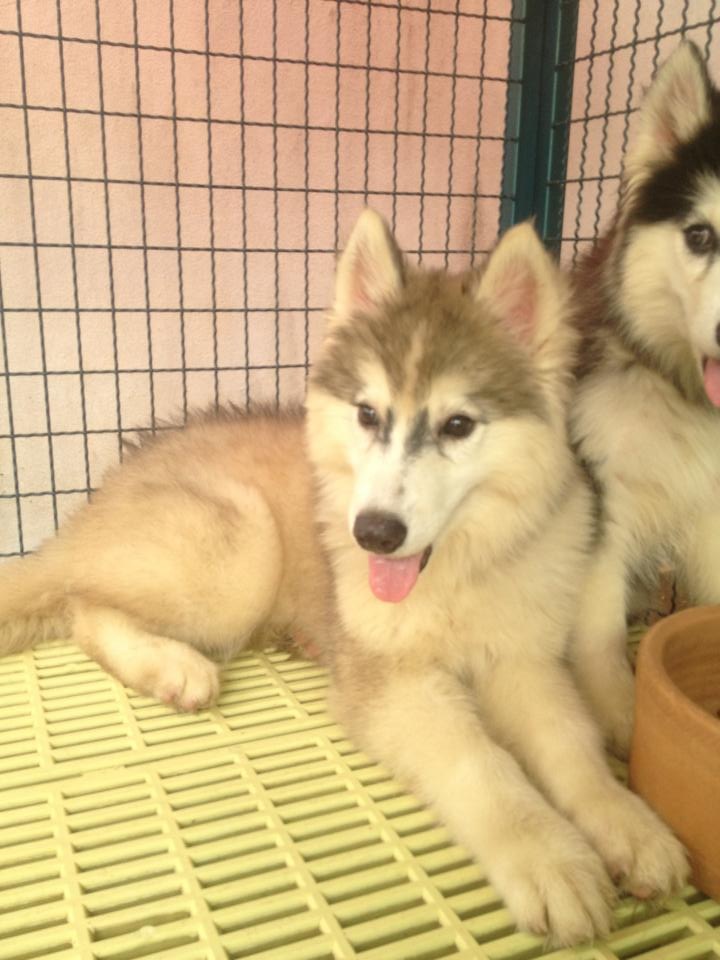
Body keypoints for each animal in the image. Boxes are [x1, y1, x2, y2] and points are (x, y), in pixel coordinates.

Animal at [0, 210, 687, 944]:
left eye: (458, 424)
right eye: (367, 414)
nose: (373, 533)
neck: (455, 571)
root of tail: (101, 495)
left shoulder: (524, 660)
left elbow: (572, 747)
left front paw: (625, 823)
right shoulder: (393, 682)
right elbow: (483, 762)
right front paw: (548, 857)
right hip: (241, 548)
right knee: (82, 604)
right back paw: (173, 667)